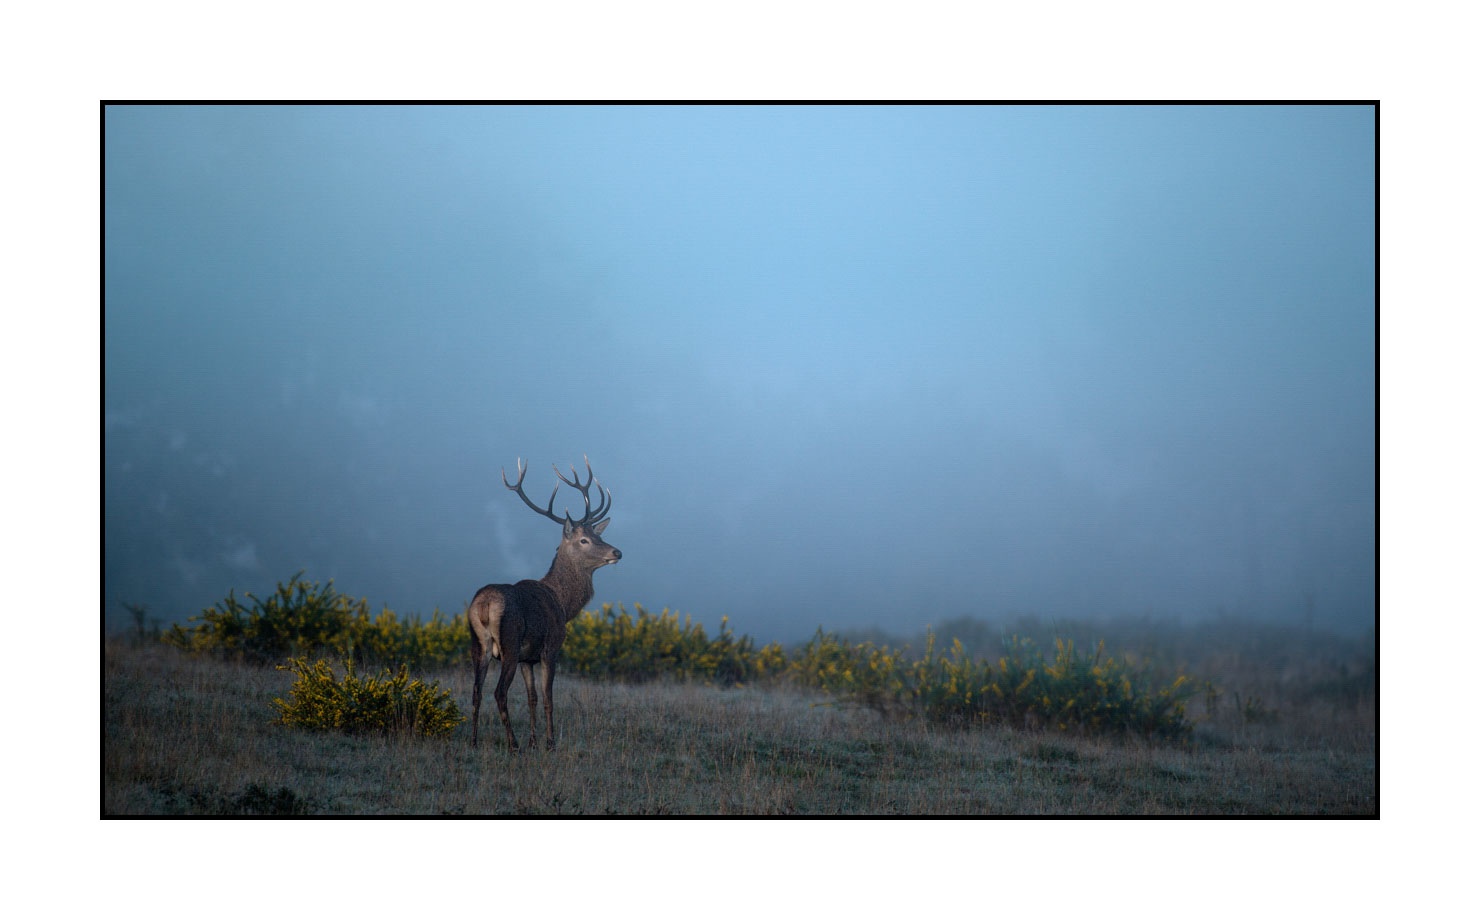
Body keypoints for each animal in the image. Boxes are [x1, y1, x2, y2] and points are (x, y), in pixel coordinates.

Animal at [467, 456, 621, 750]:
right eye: (584, 540)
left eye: (598, 535)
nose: (617, 551)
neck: (563, 604)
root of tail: (484, 605)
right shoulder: (551, 648)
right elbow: (549, 697)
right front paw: (548, 743)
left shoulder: (528, 659)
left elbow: (532, 698)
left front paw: (533, 741)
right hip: (509, 642)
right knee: (499, 692)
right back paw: (513, 744)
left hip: (478, 644)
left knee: (476, 691)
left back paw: (474, 741)